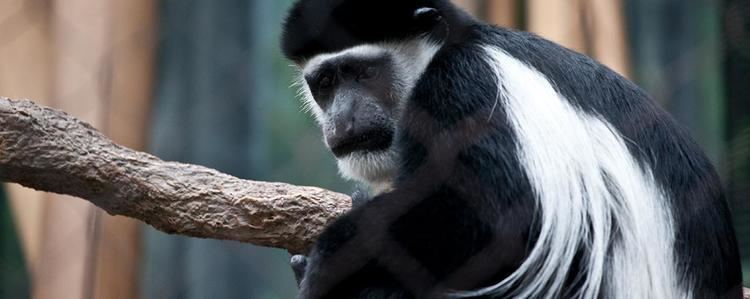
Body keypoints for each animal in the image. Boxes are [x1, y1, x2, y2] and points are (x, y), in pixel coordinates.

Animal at [282, 1, 748, 298]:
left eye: (362, 73)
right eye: (326, 83)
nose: (343, 118)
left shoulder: (464, 87)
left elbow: (497, 221)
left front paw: (326, 262)